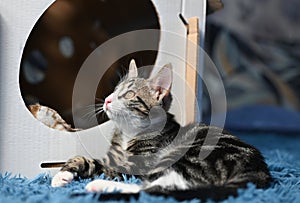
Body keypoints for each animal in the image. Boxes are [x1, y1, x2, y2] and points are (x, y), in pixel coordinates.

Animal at [52, 59, 272, 201]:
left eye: (129, 94)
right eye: (114, 90)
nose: (107, 99)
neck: (128, 134)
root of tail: (258, 172)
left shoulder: (139, 164)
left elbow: (112, 170)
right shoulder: (112, 156)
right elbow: (87, 159)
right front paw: (63, 174)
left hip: (188, 156)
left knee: (158, 190)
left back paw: (100, 187)